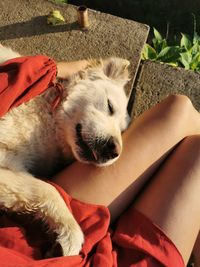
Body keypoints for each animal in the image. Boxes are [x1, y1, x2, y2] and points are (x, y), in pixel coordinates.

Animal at [0, 45, 130, 258]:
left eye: (122, 130)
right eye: (110, 106)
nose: (115, 151)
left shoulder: (10, 165)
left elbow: (40, 188)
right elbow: (49, 189)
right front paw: (71, 235)